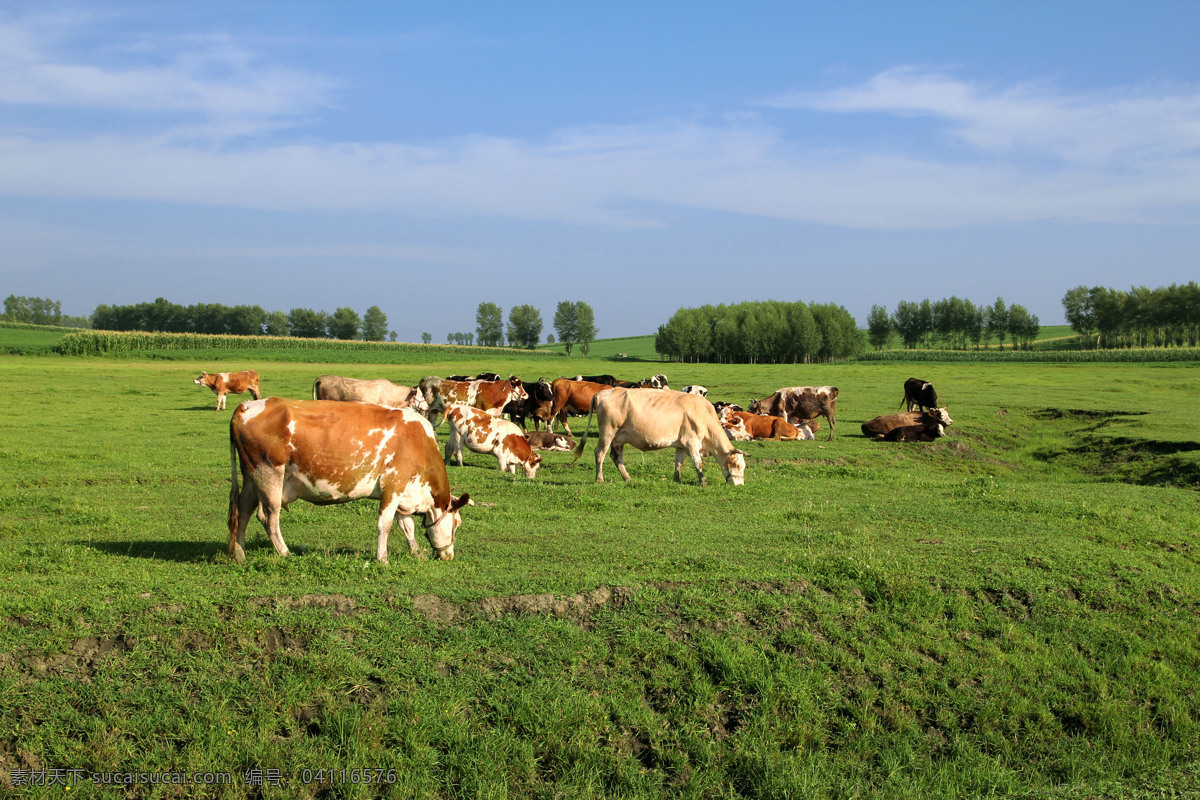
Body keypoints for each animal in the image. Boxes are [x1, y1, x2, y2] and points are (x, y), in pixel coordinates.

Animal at [226, 398, 470, 563]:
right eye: (457, 524)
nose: (449, 555)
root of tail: (247, 405)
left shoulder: (404, 494)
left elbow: (406, 525)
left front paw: (416, 552)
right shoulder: (393, 485)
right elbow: (385, 525)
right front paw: (382, 559)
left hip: (251, 477)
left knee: (243, 511)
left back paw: (240, 553)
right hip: (269, 473)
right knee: (268, 517)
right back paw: (285, 552)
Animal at [568, 386, 739, 484]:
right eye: (736, 465)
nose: (740, 485)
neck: (704, 413)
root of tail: (602, 392)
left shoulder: (682, 444)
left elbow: (678, 463)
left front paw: (677, 480)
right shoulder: (692, 442)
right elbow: (698, 463)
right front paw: (703, 482)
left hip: (619, 438)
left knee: (616, 457)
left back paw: (627, 478)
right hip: (607, 432)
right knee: (600, 453)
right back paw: (600, 479)